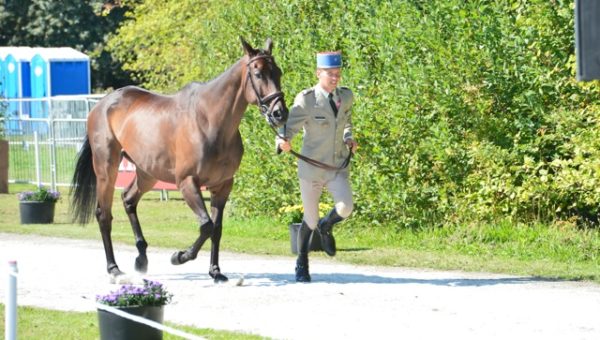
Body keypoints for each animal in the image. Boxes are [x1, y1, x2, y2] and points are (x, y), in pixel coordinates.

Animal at [70, 37, 288, 282]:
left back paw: (141, 258)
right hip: (107, 169)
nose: (280, 113)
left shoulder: (222, 185)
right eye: (258, 73)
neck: (210, 121)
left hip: (147, 173)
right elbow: (206, 225)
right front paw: (179, 256)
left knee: (128, 199)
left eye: (278, 72)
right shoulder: (187, 182)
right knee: (104, 215)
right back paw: (114, 268)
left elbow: (217, 228)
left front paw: (215, 271)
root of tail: (101, 105)